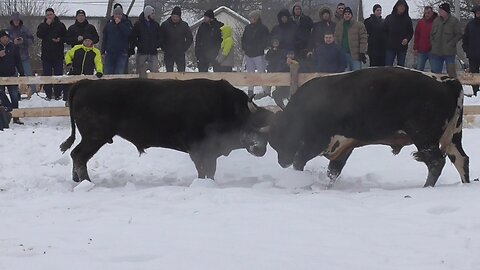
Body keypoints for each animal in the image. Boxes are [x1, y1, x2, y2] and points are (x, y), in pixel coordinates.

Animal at [59, 79, 274, 182]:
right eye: (253, 123)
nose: (260, 149)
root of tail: (86, 82)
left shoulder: (211, 153)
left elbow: (210, 171)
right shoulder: (198, 150)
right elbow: (203, 170)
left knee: (76, 155)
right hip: (95, 137)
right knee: (79, 155)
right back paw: (87, 182)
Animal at [268, 67, 470, 187]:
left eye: (278, 140)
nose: (281, 161)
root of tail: (446, 81)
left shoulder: (315, 143)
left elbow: (299, 162)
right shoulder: (343, 147)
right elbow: (333, 171)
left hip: (424, 137)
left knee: (436, 162)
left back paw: (427, 187)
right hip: (453, 137)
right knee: (461, 159)